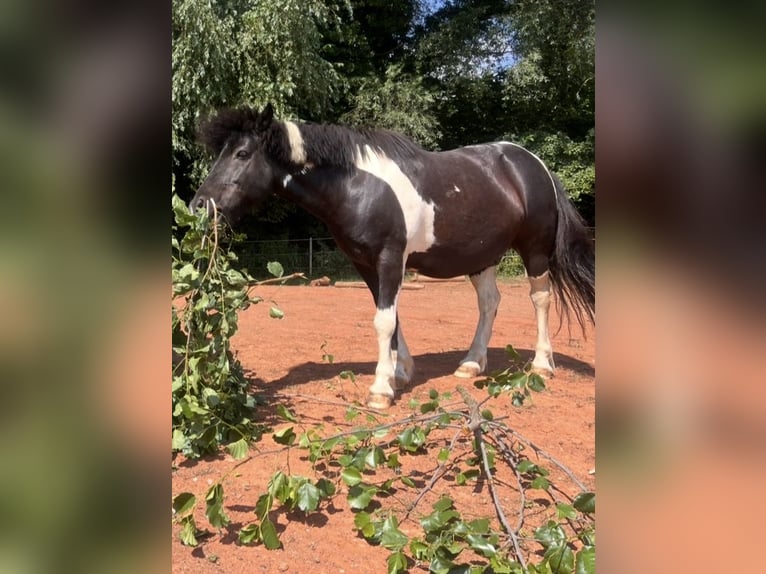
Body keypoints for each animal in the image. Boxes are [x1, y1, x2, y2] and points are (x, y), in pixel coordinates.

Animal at [190, 104, 595, 409]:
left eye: (242, 154)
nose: (198, 207)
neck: (357, 185)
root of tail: (534, 164)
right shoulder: (365, 264)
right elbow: (392, 318)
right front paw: (400, 373)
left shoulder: (389, 259)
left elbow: (384, 321)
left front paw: (382, 388)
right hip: (483, 257)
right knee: (489, 303)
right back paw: (471, 364)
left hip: (535, 250)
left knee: (540, 298)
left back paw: (542, 365)